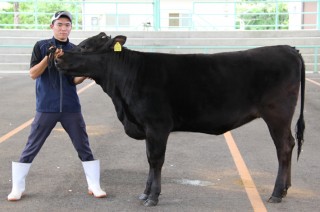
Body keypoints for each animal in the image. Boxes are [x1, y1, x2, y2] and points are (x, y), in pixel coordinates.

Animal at [55, 32, 304, 206]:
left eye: (84, 47)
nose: (57, 58)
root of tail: (289, 49)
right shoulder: (148, 128)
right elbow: (149, 159)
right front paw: (144, 193)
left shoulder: (157, 125)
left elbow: (156, 160)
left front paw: (153, 197)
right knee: (290, 145)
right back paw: (285, 189)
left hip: (277, 114)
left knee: (283, 148)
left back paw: (276, 193)